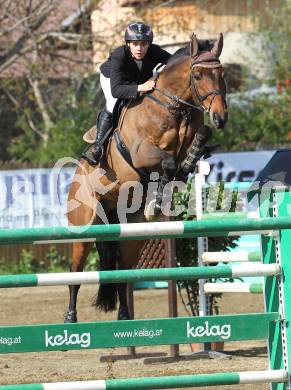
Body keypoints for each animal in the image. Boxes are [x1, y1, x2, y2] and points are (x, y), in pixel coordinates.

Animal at [65, 32, 229, 322]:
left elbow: (198, 140)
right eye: (198, 75)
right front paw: (161, 194)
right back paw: (70, 318)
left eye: (222, 73)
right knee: (75, 274)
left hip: (133, 235)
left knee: (121, 274)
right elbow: (168, 161)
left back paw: (124, 316)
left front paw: (184, 169)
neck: (174, 107)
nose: (220, 117)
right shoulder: (141, 153)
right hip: (83, 227)